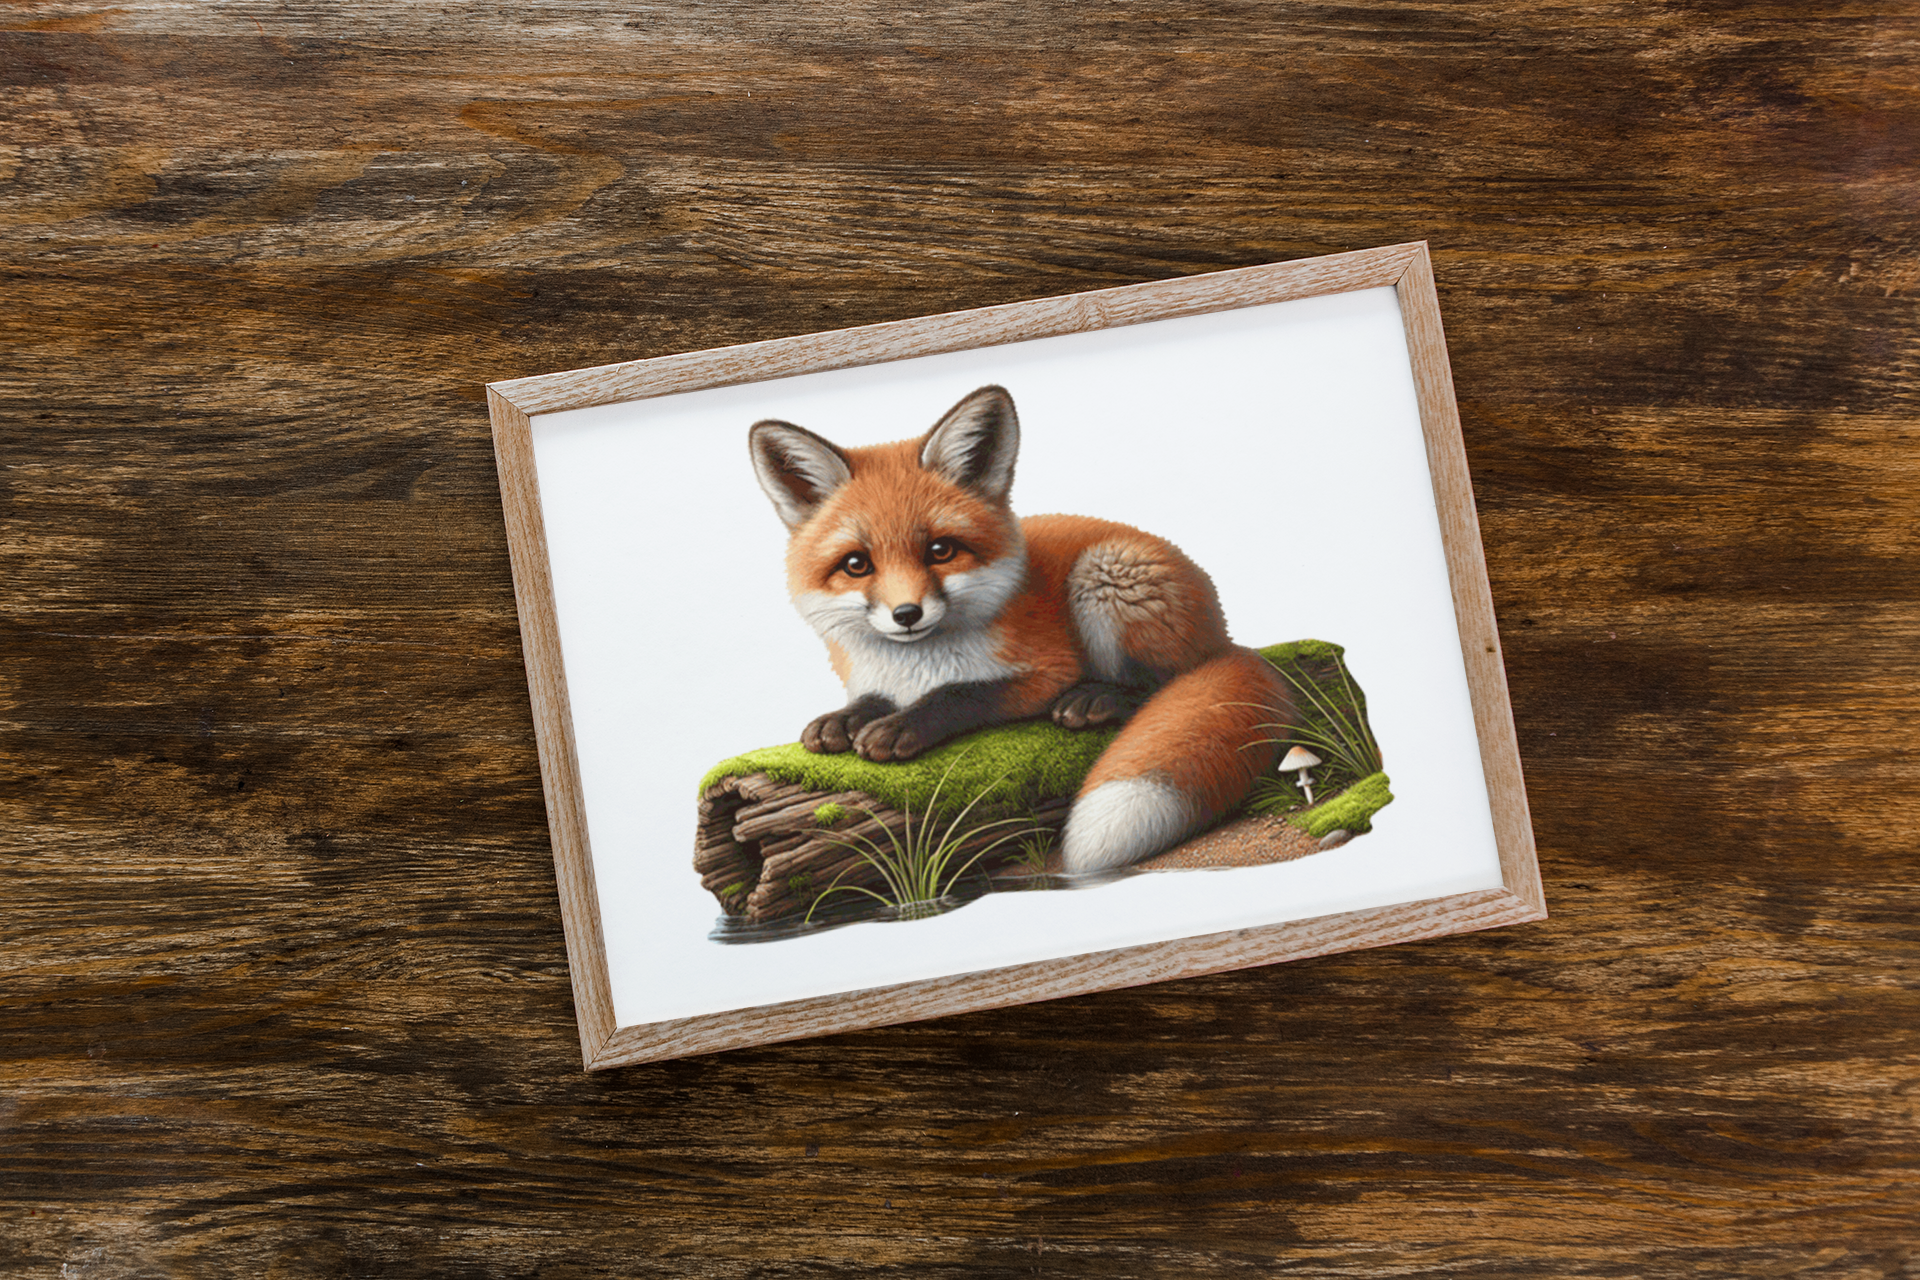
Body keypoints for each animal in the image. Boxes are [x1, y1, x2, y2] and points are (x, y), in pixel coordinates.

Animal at [747, 384, 1293, 875]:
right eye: (857, 564)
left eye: (940, 551)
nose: (907, 614)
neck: (916, 664)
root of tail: (1224, 635)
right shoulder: (877, 677)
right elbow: (869, 700)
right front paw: (842, 720)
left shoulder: (1046, 670)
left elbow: (961, 694)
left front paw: (902, 726)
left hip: (1104, 575)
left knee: (1161, 683)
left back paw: (1097, 699)